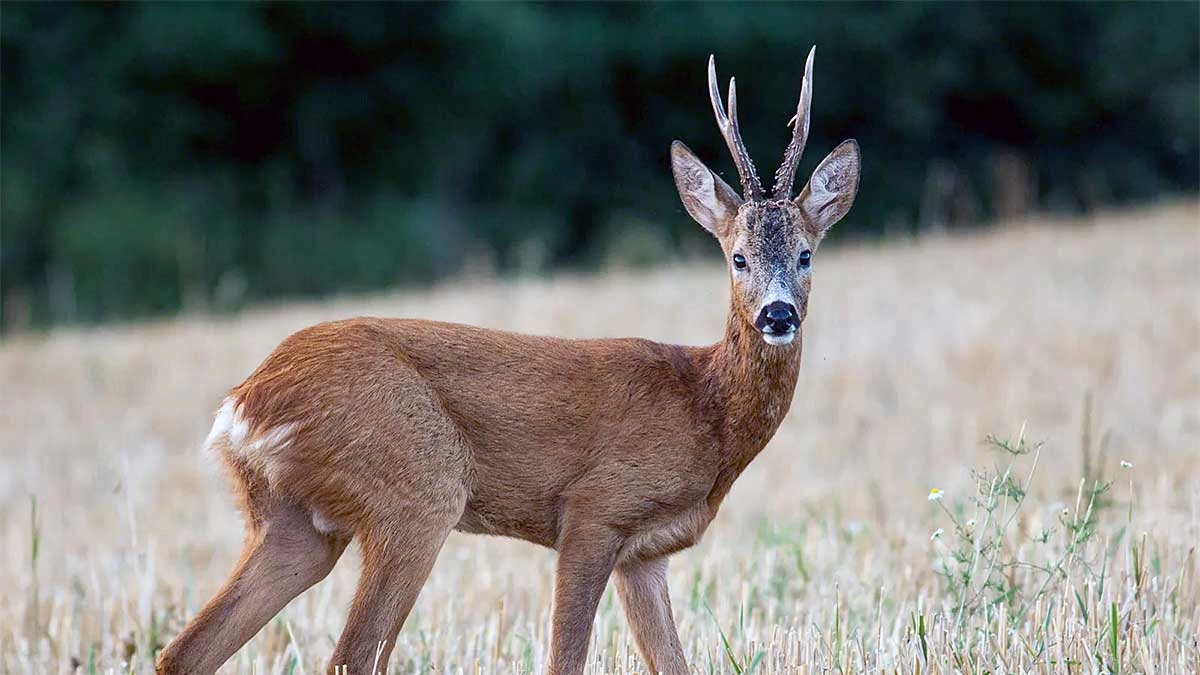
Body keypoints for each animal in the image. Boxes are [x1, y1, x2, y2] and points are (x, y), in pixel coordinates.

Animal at [156, 47, 859, 675]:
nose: (777, 315)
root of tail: (244, 403)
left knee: (184, 651)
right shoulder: (594, 511)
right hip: (416, 492)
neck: (705, 409)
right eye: (737, 257)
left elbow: (673, 664)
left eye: (806, 255)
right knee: (349, 657)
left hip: (295, 523)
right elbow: (564, 659)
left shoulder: (646, 554)